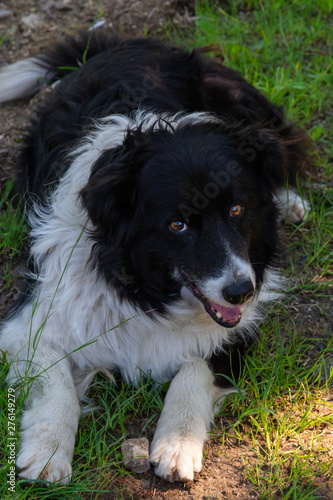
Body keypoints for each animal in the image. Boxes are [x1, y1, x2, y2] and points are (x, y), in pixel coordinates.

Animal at [0, 32, 308, 484]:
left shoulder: (240, 327)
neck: (145, 290)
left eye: (237, 209)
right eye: (177, 225)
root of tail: (121, 42)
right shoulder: (28, 323)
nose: (240, 292)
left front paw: (178, 445)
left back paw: (291, 201)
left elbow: (195, 367)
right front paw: (48, 451)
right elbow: (55, 379)